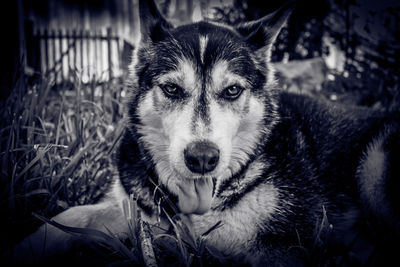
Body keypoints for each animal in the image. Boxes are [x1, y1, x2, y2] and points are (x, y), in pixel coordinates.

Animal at [9, 0, 400, 266]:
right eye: (171, 89)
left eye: (232, 91)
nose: (202, 159)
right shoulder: (139, 210)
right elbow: (74, 216)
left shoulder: (283, 245)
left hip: (376, 164)